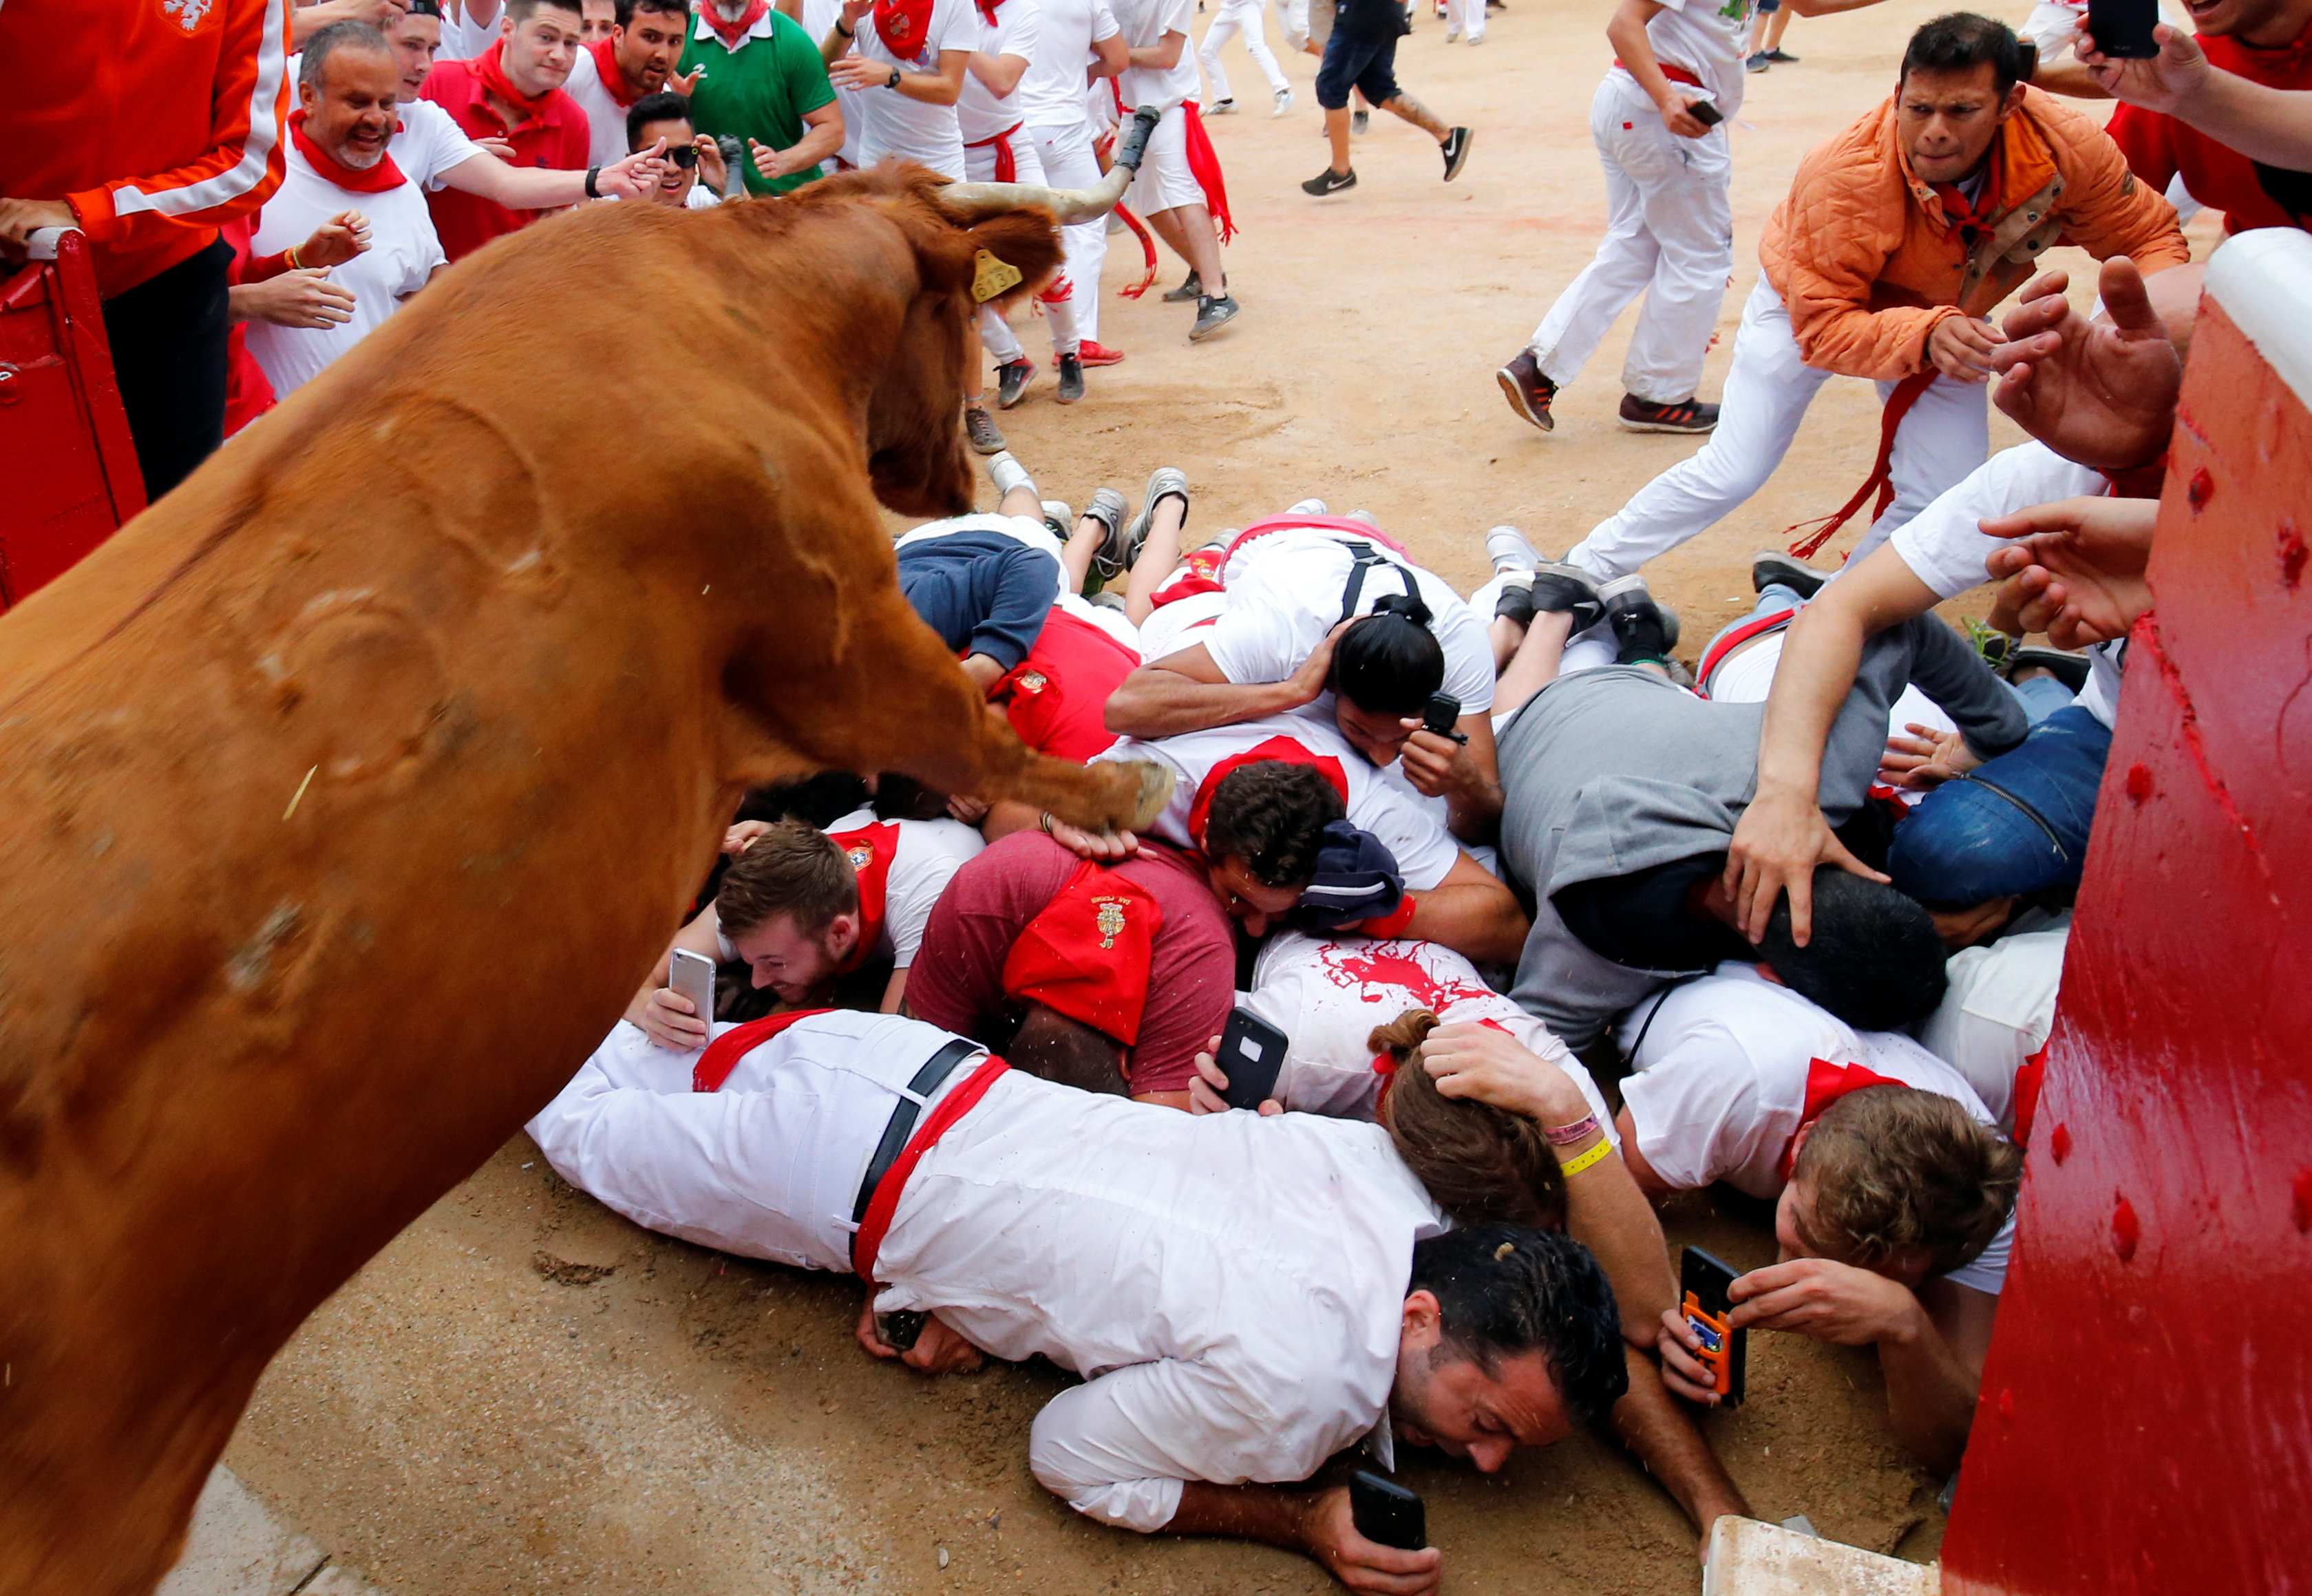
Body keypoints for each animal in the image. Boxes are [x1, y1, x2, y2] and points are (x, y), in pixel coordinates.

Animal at [0, 142, 1174, 1582]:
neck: (736, 298)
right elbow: (969, 721)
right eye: (956, 310)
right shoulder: (842, 622)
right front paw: (1116, 790)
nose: (968, 472)